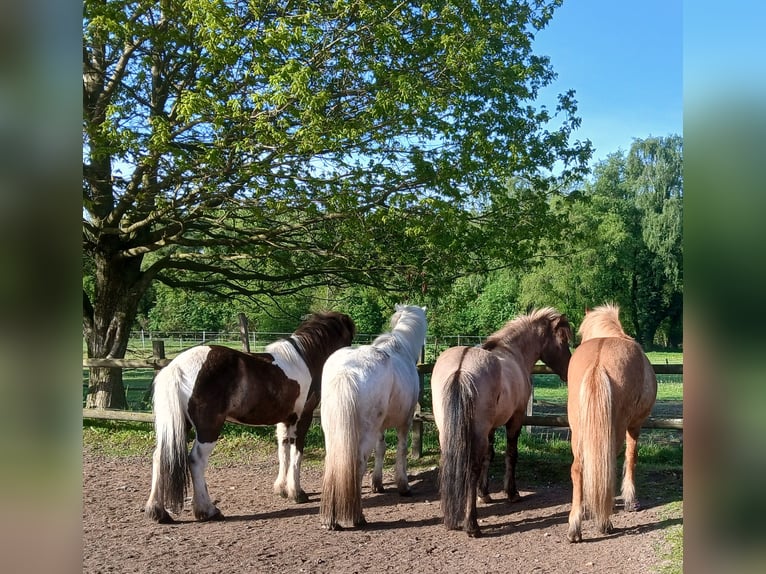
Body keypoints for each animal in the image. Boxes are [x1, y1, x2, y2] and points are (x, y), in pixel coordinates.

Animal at [144, 311, 356, 523]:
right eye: (349, 339)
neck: (305, 359)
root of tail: (176, 367)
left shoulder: (284, 420)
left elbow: (284, 451)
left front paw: (281, 489)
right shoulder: (302, 418)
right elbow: (296, 453)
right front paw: (297, 493)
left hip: (180, 425)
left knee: (159, 457)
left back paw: (157, 512)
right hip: (208, 428)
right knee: (196, 460)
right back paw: (208, 511)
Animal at [319, 304, 427, 530]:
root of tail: (346, 371)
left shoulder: (380, 427)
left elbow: (381, 449)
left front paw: (377, 483)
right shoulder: (405, 422)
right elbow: (401, 450)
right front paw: (403, 486)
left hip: (333, 433)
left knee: (334, 464)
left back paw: (330, 520)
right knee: (357, 465)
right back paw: (357, 517)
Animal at [431, 307, 573, 537]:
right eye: (562, 340)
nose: (569, 370)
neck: (513, 352)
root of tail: (461, 369)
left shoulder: (491, 427)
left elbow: (490, 455)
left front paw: (485, 493)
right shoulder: (515, 419)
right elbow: (511, 455)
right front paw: (512, 493)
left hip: (447, 431)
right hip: (477, 432)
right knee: (472, 468)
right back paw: (472, 524)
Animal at [566, 303, 657, 542]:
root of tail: (598, 364)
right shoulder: (635, 425)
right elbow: (632, 457)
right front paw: (630, 500)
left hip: (578, 430)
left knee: (578, 468)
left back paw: (575, 526)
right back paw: (604, 522)